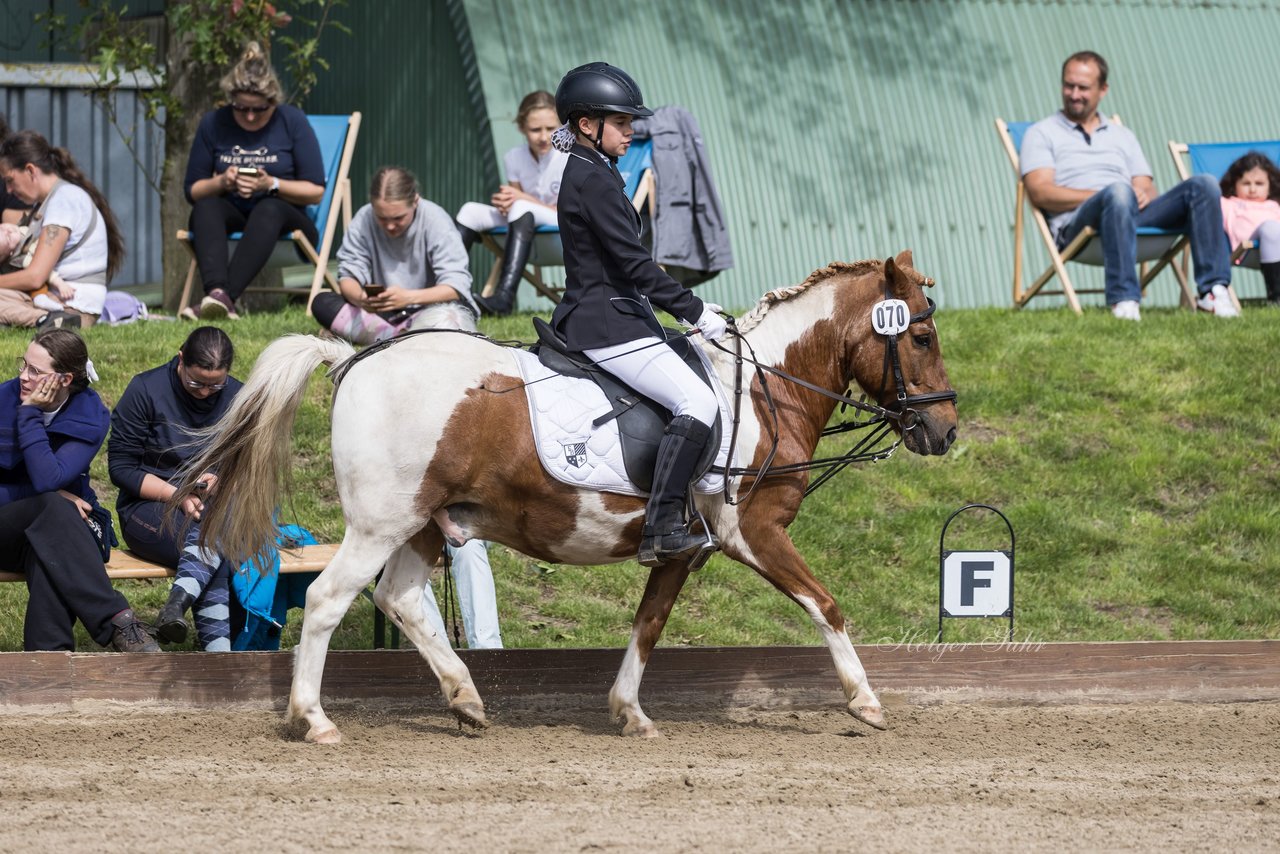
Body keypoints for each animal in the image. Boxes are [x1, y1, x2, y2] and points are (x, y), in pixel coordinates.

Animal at [186, 250, 952, 742]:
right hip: (381, 522)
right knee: (325, 600)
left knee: (400, 599)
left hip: (425, 524)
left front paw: (628, 712)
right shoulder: (754, 533)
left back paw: (466, 700)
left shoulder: (682, 550)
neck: (766, 388)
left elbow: (648, 625)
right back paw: (314, 720)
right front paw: (865, 701)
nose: (944, 431)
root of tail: (350, 360)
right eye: (920, 334)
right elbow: (827, 605)